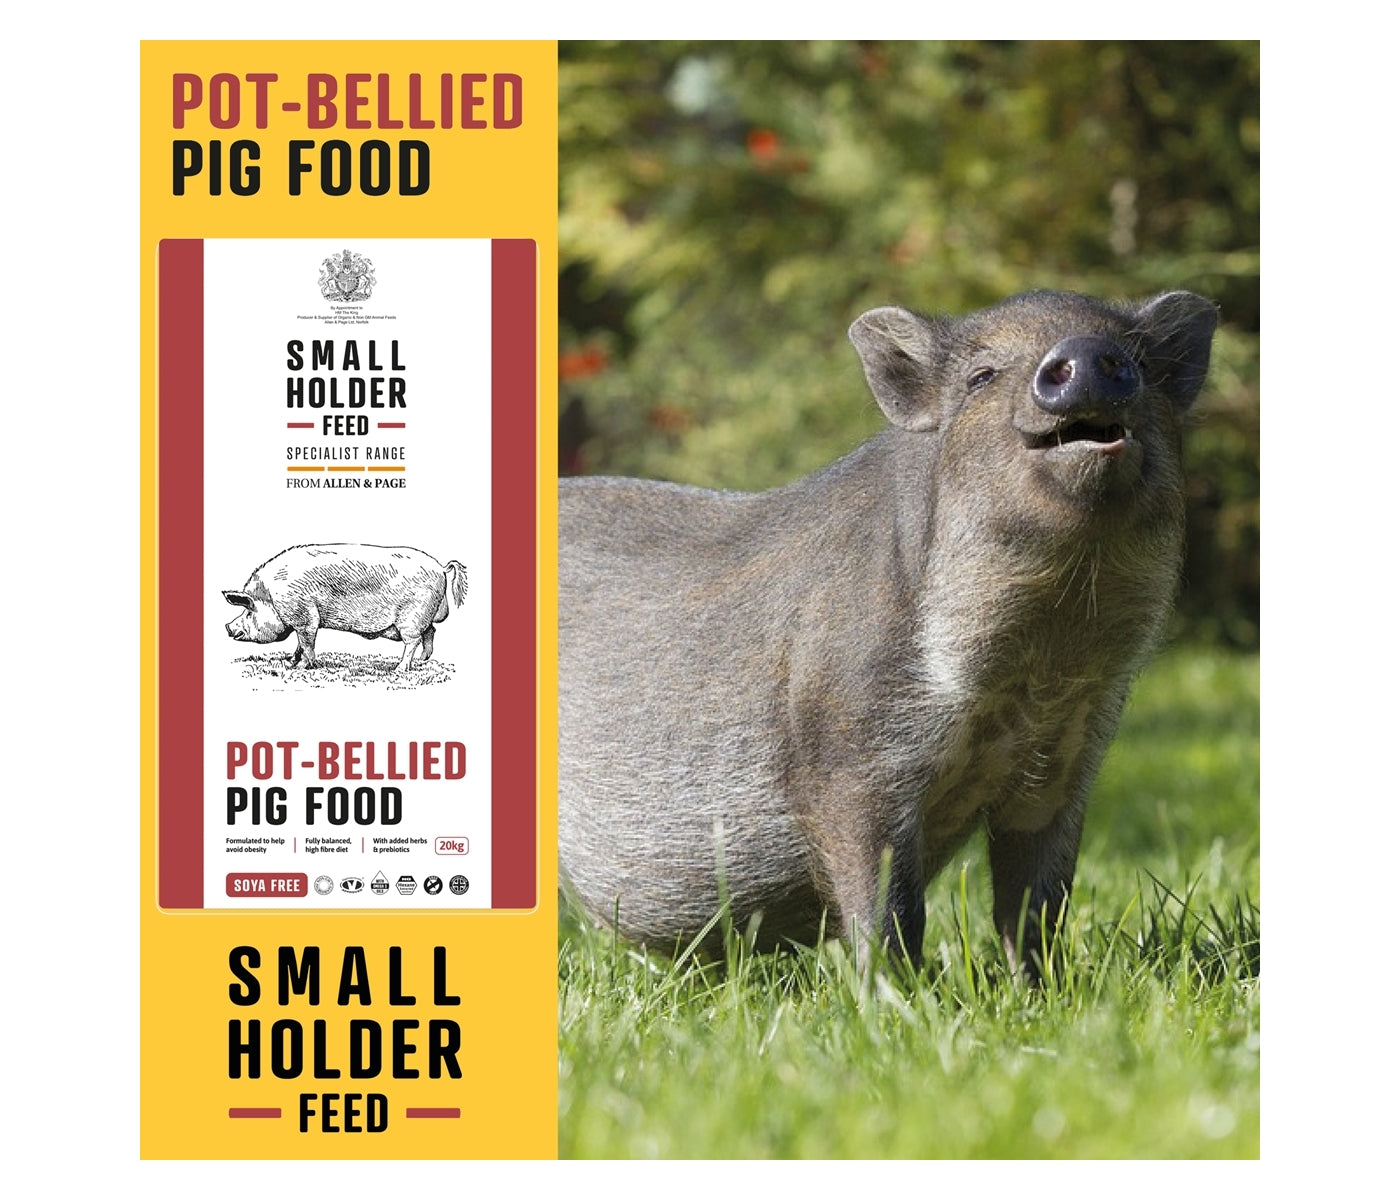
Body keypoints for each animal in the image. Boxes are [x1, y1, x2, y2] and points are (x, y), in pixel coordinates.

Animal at [223, 543, 467, 672]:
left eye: (248, 610)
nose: (227, 627)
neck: (271, 597)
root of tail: (441, 568)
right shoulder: (302, 621)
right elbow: (299, 644)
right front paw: (290, 662)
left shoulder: (306, 617)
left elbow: (307, 643)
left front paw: (301, 667)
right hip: (423, 617)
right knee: (431, 631)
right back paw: (421, 661)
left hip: (411, 617)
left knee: (414, 641)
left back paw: (399, 669)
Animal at [558, 289, 1217, 978]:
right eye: (981, 376)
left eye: (1139, 361)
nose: (1086, 354)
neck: (1033, 674)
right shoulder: (849, 762)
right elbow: (887, 906)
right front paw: (900, 994)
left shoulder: (1065, 761)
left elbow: (1036, 903)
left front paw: (1040, 990)